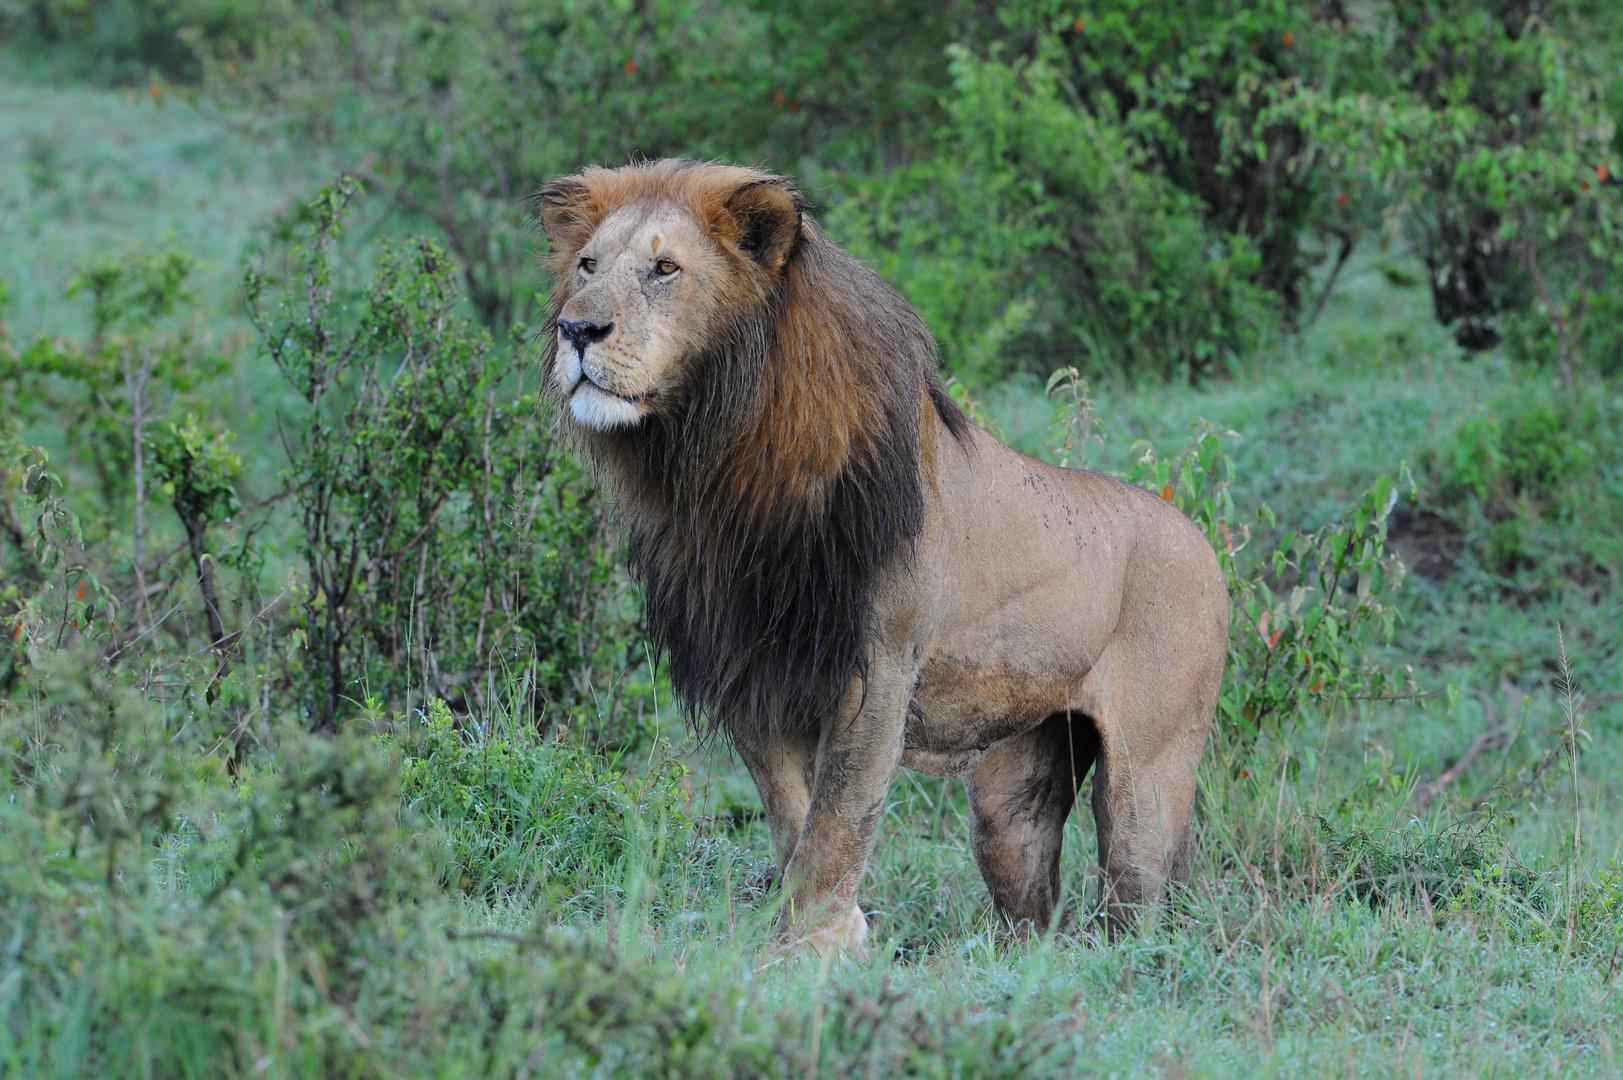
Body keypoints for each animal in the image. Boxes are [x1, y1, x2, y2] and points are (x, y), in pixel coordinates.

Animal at [535, 158, 1226, 954]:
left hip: (1148, 777)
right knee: (1031, 899)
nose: (577, 329)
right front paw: (829, 938)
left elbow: (839, 821)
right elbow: (793, 817)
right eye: (587, 266)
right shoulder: (752, 670)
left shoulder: (877, 670)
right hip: (1013, 787)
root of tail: (1200, 539)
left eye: (664, 269)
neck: (722, 466)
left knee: (1138, 904)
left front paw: (809, 949)